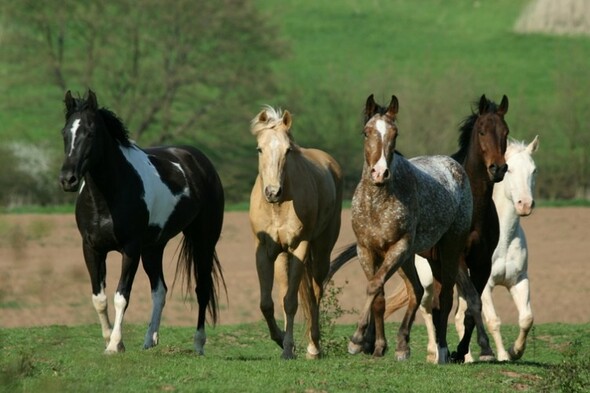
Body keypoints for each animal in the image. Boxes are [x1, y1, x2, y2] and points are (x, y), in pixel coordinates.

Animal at [59, 90, 227, 354]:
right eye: (65, 132)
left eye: (90, 133)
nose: (68, 179)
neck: (107, 197)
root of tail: (198, 159)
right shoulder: (92, 248)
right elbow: (99, 298)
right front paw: (109, 339)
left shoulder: (130, 249)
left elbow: (121, 296)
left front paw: (115, 344)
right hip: (153, 248)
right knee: (160, 291)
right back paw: (149, 340)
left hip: (203, 241)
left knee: (202, 289)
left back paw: (199, 343)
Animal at [249, 105, 342, 356]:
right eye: (259, 149)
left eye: (288, 150)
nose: (273, 192)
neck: (278, 207)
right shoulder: (264, 250)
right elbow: (267, 303)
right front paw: (281, 340)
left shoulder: (300, 246)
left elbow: (292, 302)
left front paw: (288, 350)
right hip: (283, 256)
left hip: (321, 250)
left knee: (315, 292)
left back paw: (314, 347)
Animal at [330, 93, 474, 362]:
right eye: (366, 132)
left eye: (395, 133)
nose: (379, 173)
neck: (377, 203)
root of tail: (454, 166)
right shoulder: (367, 249)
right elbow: (378, 296)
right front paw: (378, 346)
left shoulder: (398, 247)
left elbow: (373, 286)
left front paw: (356, 340)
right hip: (412, 257)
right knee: (417, 291)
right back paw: (402, 345)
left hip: (446, 248)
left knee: (445, 296)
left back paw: (441, 351)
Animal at [386, 94, 512, 362]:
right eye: (482, 131)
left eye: (505, 132)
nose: (498, 168)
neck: (474, 207)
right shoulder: (459, 258)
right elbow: (471, 300)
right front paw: (480, 349)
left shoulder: (482, 262)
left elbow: (471, 306)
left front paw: (462, 350)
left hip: (437, 261)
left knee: (438, 303)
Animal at [480, 136, 540, 360]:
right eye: (509, 170)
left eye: (533, 170)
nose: (525, 204)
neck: (502, 240)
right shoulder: (485, 285)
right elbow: (493, 321)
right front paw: (503, 356)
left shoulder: (519, 280)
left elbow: (526, 318)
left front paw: (516, 351)